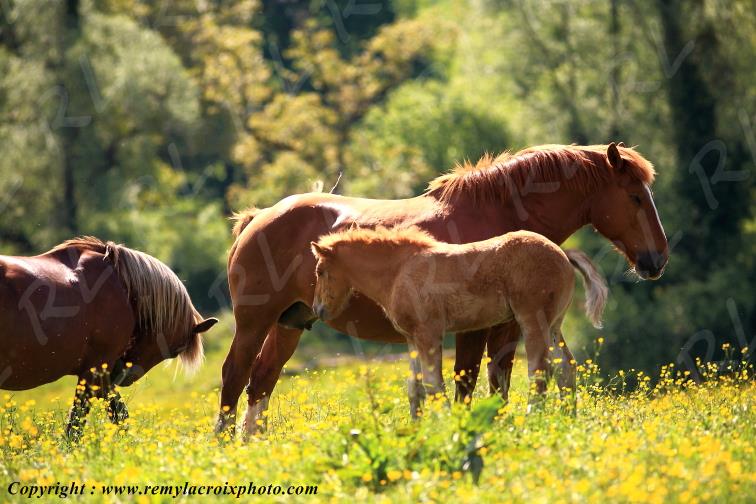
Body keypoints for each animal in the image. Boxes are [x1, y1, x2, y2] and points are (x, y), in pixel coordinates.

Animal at [0, 237, 218, 438]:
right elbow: (82, 421)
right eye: (177, 350)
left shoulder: (99, 375)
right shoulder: (95, 372)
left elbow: (116, 413)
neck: (119, 283)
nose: (124, 376)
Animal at [310, 227, 608, 416]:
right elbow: (414, 389)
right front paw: (416, 428)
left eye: (320, 271)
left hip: (532, 320)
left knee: (539, 370)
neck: (400, 270)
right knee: (566, 368)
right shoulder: (412, 338)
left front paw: (445, 424)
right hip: (553, 325)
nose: (318, 309)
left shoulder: (429, 334)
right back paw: (567, 418)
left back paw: (533, 416)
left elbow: (433, 385)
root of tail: (562, 253)